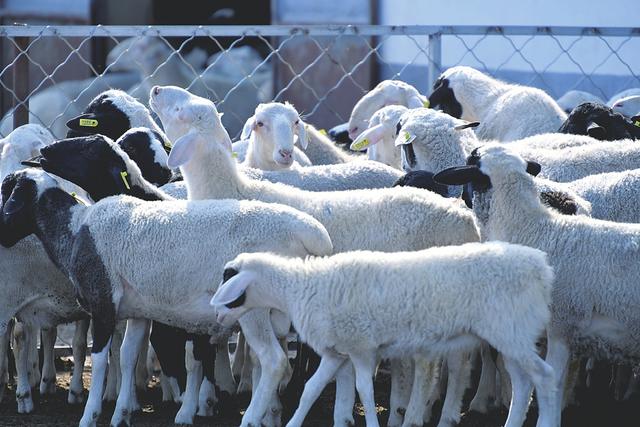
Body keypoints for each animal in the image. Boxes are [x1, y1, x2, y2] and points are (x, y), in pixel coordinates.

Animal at [0, 164, 338, 427]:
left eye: (9, 194)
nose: (2, 235)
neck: (74, 229)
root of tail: (316, 237)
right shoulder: (137, 311)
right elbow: (127, 356)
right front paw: (122, 414)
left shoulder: (102, 304)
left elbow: (99, 361)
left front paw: (90, 415)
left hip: (253, 308)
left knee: (274, 361)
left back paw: (252, 418)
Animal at [149, 84, 480, 427]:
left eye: (181, 113)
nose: (156, 89)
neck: (233, 191)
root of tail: (462, 216)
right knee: (454, 358)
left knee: (431, 362)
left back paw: (420, 414)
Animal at [212, 242, 556, 427]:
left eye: (228, 278)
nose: (216, 316)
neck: (300, 288)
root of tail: (541, 268)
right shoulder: (337, 352)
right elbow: (311, 389)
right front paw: (295, 423)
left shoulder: (362, 348)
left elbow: (364, 391)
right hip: (513, 336)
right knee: (523, 383)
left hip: (510, 332)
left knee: (545, 377)